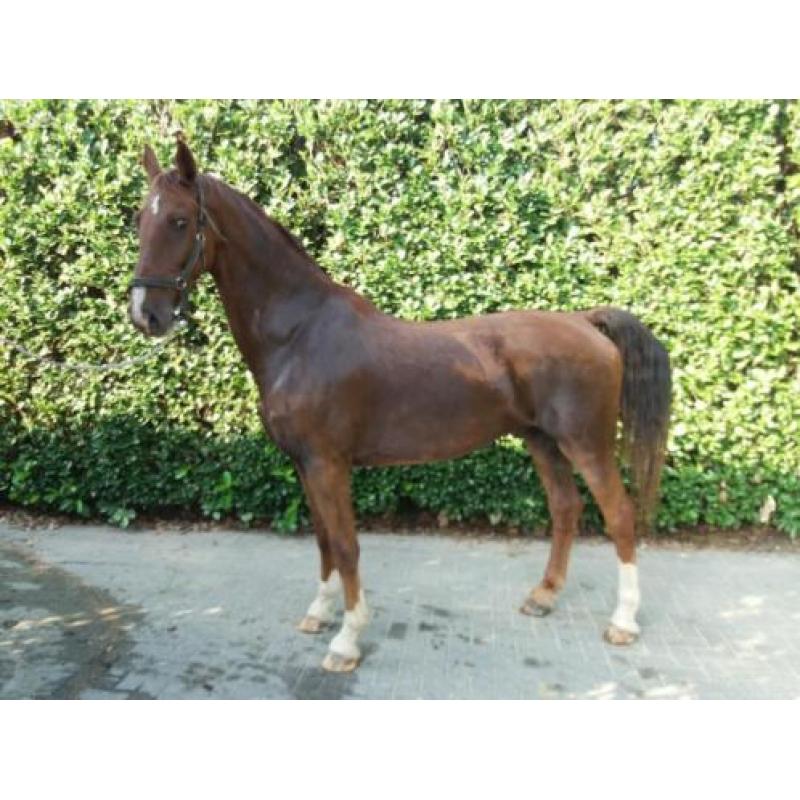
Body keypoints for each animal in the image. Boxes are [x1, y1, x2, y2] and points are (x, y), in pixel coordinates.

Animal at [129, 135, 671, 673]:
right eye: (139, 220)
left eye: (180, 221)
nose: (145, 315)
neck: (301, 334)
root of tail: (583, 321)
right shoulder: (305, 463)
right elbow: (323, 539)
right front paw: (319, 613)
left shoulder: (327, 463)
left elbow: (345, 545)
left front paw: (346, 639)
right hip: (542, 440)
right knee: (565, 507)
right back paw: (544, 596)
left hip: (585, 443)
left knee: (619, 515)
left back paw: (623, 621)